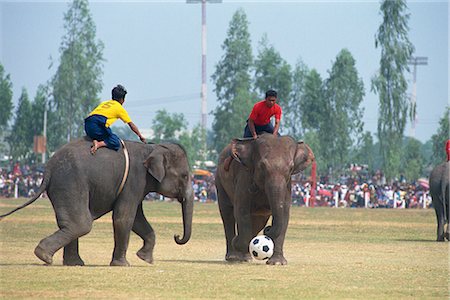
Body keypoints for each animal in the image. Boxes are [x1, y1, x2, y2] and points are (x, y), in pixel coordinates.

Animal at [0, 137, 193, 266]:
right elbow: (124, 218)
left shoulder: (137, 186)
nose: (176, 236)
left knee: (70, 223)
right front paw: (123, 265)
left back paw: (71, 262)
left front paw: (145, 259)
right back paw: (44, 256)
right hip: (71, 182)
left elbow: (137, 219)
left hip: (62, 187)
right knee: (81, 223)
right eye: (184, 176)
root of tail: (48, 168)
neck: (152, 148)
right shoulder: (134, 180)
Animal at [215, 134, 314, 264]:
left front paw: (277, 263)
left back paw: (245, 256)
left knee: (258, 221)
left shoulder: (287, 186)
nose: (268, 230)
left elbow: (284, 214)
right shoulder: (244, 177)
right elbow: (241, 211)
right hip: (219, 181)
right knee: (227, 214)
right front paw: (237, 242)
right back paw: (234, 256)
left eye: (290, 168)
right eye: (262, 166)